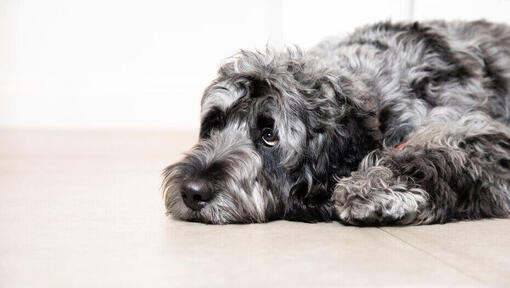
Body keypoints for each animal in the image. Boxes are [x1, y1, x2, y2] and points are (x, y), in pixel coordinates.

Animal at [162, 21, 510, 226]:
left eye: (269, 135)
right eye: (215, 123)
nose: (191, 191)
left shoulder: (481, 134)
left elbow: (439, 150)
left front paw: (372, 187)